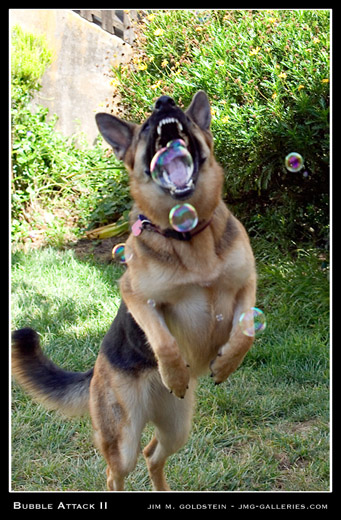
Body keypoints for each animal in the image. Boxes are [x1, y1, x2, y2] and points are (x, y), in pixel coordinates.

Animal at [11, 91, 255, 490]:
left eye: (184, 114)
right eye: (143, 129)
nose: (165, 101)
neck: (188, 233)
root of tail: (94, 370)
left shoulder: (246, 284)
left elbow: (245, 332)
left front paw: (225, 364)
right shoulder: (136, 295)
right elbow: (165, 342)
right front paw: (175, 373)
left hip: (177, 427)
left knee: (153, 454)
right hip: (122, 437)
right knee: (117, 471)